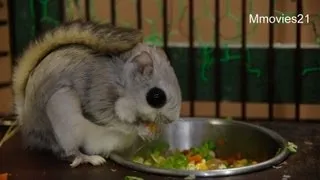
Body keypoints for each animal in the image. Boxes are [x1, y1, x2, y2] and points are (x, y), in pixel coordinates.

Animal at [12, 20, 181, 168]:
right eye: (157, 96)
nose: (171, 120)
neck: (123, 80)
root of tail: (27, 120)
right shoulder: (99, 91)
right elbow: (109, 117)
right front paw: (141, 128)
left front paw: (155, 130)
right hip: (63, 112)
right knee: (67, 152)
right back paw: (86, 158)